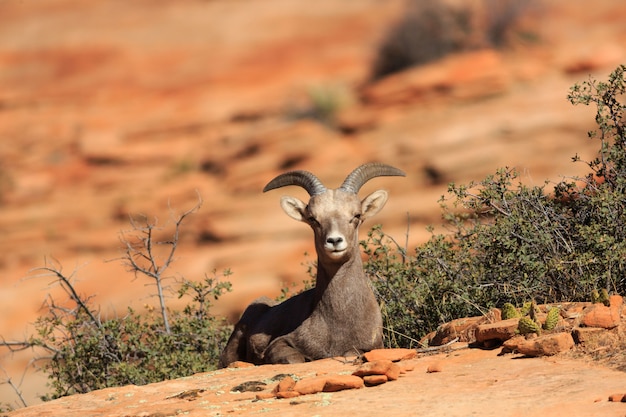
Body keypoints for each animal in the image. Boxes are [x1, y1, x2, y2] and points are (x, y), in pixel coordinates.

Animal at [219, 164, 404, 366]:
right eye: (314, 219)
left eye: (356, 215)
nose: (334, 241)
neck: (338, 322)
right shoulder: (281, 344)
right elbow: (295, 359)